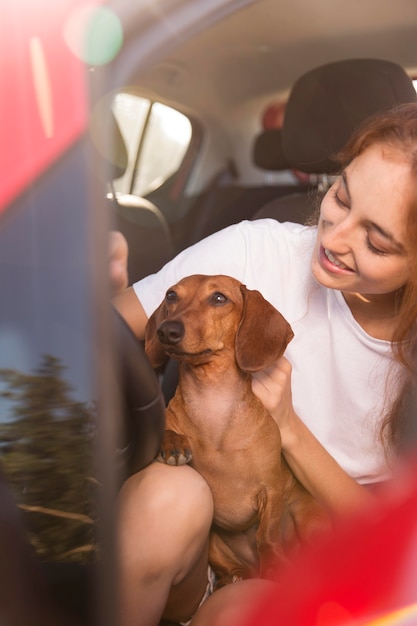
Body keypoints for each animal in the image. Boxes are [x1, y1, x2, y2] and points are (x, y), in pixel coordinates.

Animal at [145, 272, 330, 584]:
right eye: (171, 295)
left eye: (219, 298)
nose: (167, 331)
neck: (213, 405)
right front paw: (172, 442)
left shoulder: (272, 489)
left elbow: (266, 535)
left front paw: (273, 564)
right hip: (212, 542)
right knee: (228, 568)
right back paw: (236, 576)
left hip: (309, 519)